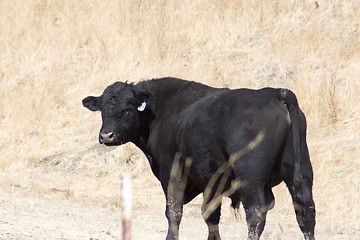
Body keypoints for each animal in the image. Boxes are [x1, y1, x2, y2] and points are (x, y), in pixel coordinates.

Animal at [82, 78, 316, 239]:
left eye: (127, 110)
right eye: (103, 110)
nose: (106, 135)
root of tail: (275, 93)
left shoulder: (172, 172)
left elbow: (174, 211)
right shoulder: (211, 178)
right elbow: (210, 214)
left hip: (251, 177)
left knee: (256, 213)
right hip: (301, 170)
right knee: (305, 212)